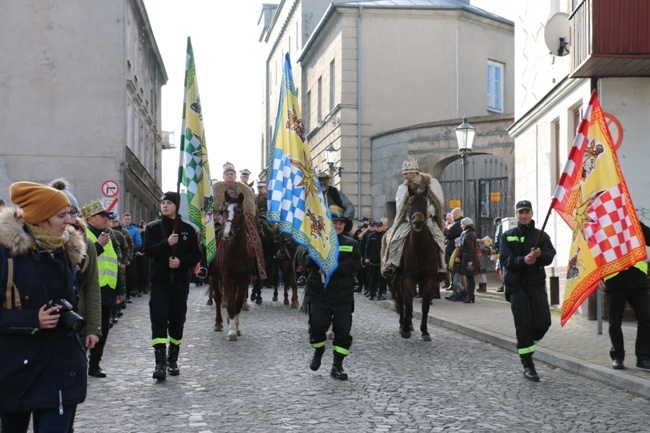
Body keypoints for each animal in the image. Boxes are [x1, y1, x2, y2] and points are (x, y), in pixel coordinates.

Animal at [210, 192, 256, 338]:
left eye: (239, 211)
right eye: (224, 211)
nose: (227, 233)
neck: (236, 252)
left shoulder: (244, 279)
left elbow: (238, 303)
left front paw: (237, 327)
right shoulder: (227, 278)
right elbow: (230, 303)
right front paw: (231, 332)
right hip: (213, 277)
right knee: (218, 297)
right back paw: (218, 323)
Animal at [390, 187, 440, 340]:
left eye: (425, 203)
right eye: (410, 203)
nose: (418, 223)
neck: (419, 248)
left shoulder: (429, 279)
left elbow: (425, 305)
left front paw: (425, 331)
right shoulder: (408, 277)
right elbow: (407, 302)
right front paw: (405, 328)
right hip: (397, 278)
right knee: (401, 299)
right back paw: (403, 323)